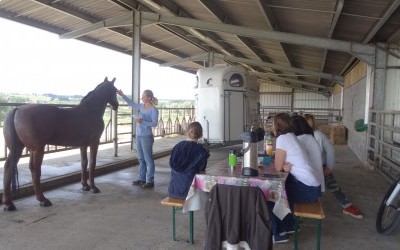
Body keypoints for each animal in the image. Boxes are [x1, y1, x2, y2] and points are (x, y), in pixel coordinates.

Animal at [1, 76, 119, 211]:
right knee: (35, 169)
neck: (90, 111)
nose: (116, 105)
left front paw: (85, 186)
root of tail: (17, 110)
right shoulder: (94, 142)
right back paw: (43, 200)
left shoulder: (83, 145)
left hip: (18, 149)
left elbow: (84, 163)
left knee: (8, 167)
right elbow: (92, 163)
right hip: (37, 149)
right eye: (114, 90)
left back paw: (9, 204)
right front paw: (94, 188)